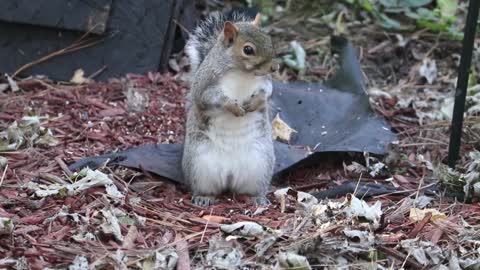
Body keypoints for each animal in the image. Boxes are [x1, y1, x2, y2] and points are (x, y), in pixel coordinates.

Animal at [181, 11, 280, 207]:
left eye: (269, 39)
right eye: (248, 50)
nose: (274, 67)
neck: (242, 73)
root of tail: (230, 174)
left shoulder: (264, 82)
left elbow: (266, 92)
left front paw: (254, 103)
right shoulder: (205, 86)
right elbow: (211, 99)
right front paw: (234, 108)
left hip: (259, 165)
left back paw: (258, 198)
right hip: (199, 165)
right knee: (205, 187)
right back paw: (203, 197)